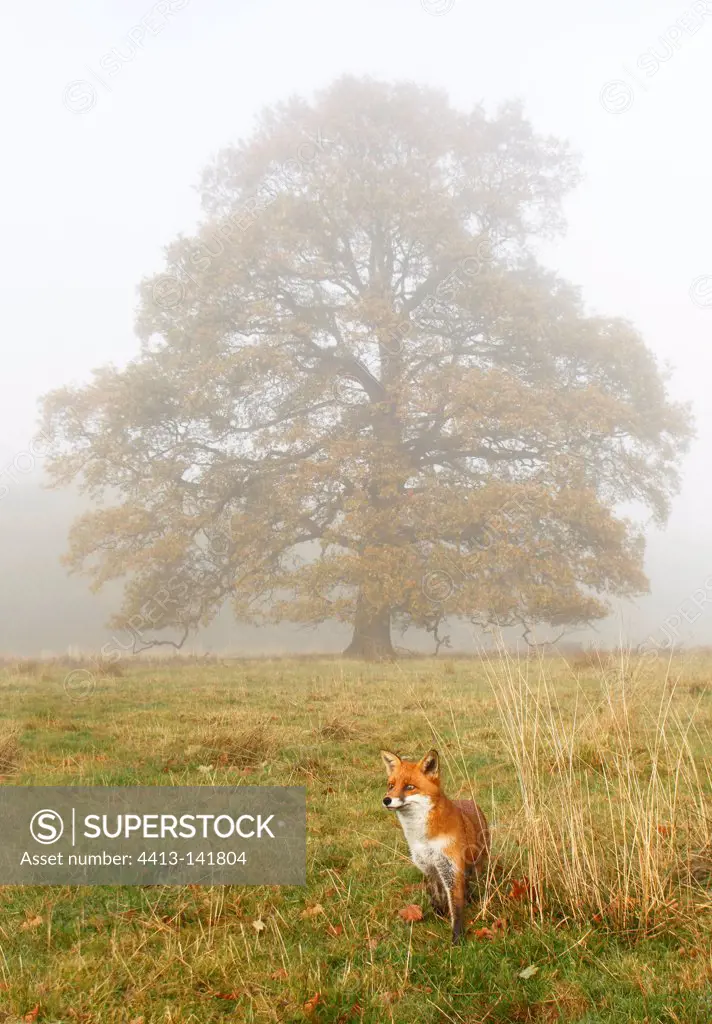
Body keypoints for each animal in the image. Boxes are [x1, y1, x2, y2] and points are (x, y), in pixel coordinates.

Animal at [379, 745, 489, 942]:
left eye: (409, 787)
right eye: (391, 786)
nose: (386, 800)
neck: (423, 839)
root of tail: (470, 801)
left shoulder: (451, 868)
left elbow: (456, 907)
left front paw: (457, 939)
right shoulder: (429, 867)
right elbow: (436, 894)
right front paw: (439, 913)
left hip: (477, 866)